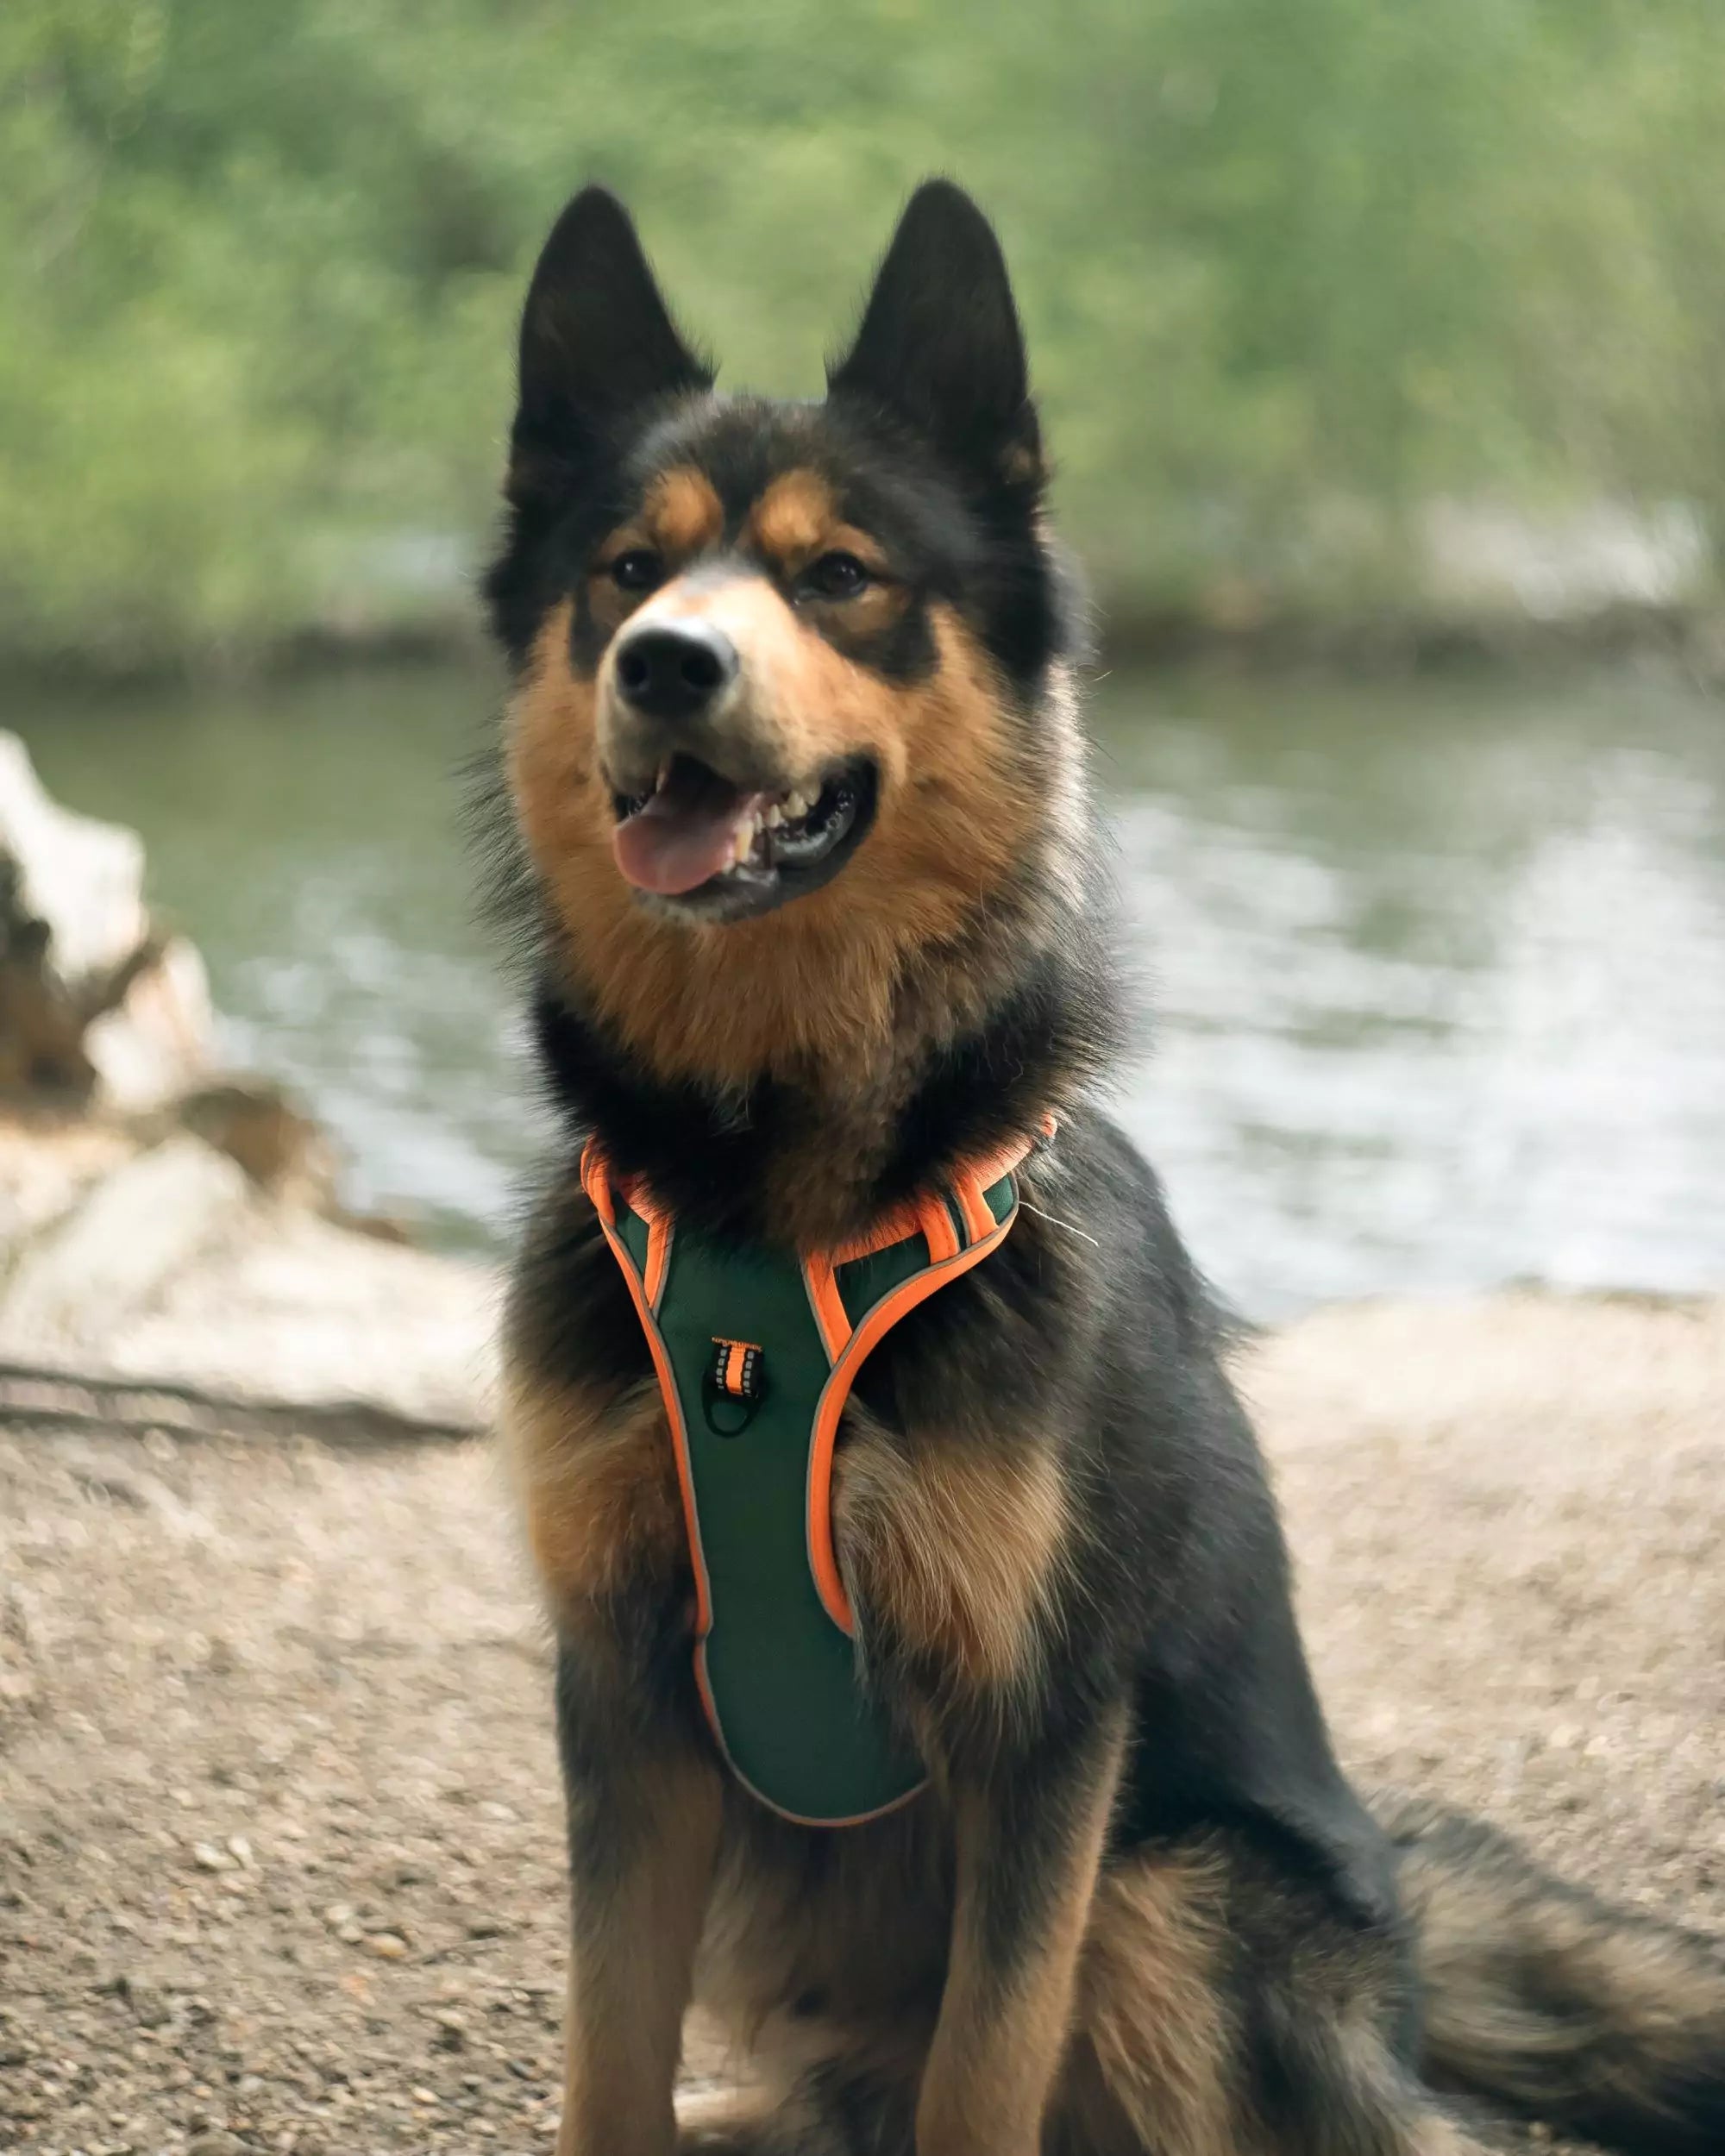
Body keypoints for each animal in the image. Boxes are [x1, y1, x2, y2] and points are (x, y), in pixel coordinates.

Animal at [479, 181, 1725, 2156]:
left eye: (841, 576)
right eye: (623, 571)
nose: (664, 663)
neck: (778, 1187)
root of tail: (1399, 1929)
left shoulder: (1042, 1739)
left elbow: (984, 2079)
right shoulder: (621, 1701)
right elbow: (610, 2065)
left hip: (1167, 1887)